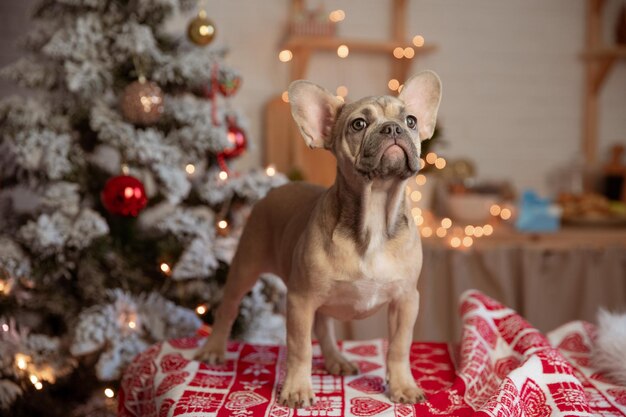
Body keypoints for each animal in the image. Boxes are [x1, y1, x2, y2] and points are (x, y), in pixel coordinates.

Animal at [195, 70, 438, 406]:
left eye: (411, 121)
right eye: (358, 124)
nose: (393, 128)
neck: (374, 213)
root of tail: (275, 189)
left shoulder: (405, 300)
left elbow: (400, 346)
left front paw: (402, 385)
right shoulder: (301, 300)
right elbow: (300, 348)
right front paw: (297, 388)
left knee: (324, 326)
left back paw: (336, 359)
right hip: (245, 269)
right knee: (228, 311)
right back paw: (214, 349)